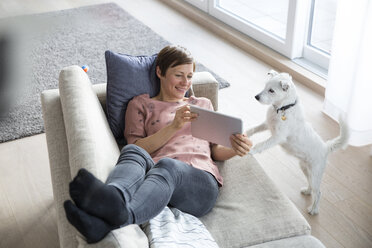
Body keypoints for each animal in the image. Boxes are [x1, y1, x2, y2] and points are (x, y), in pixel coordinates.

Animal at [247, 70, 348, 215]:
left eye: (271, 90)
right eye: (265, 86)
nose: (256, 97)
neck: (283, 108)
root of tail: (326, 148)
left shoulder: (278, 137)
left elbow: (262, 144)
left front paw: (251, 150)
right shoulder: (267, 124)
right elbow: (254, 128)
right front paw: (245, 134)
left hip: (315, 173)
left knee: (319, 192)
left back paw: (313, 209)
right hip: (305, 168)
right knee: (311, 186)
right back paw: (307, 191)